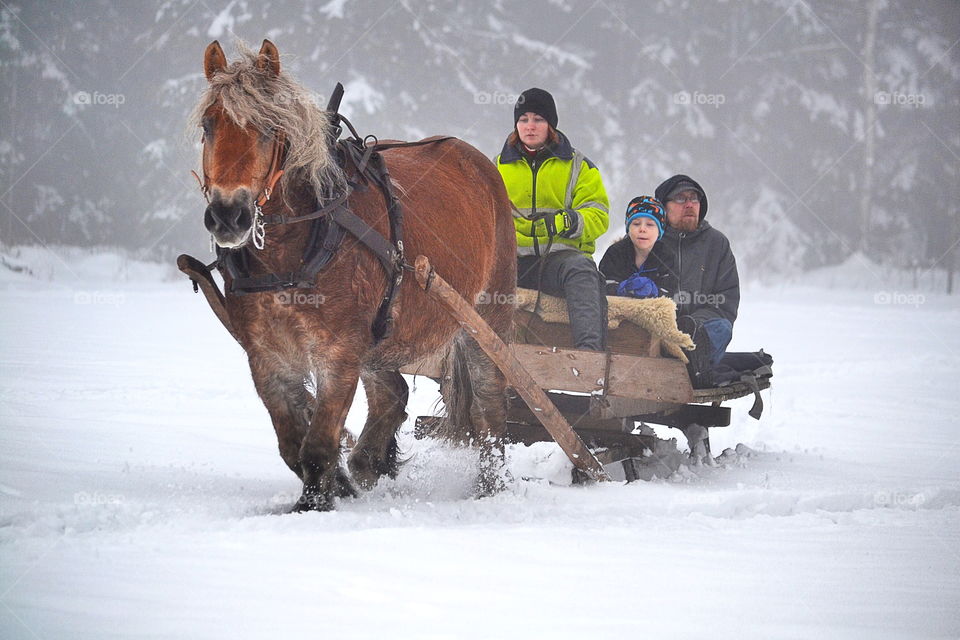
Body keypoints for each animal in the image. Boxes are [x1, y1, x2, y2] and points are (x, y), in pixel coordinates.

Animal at [193, 40, 516, 510]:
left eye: (270, 128)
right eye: (208, 124)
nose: (227, 215)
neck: (295, 252)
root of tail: (478, 161)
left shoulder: (339, 353)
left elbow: (317, 445)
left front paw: (315, 504)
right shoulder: (267, 355)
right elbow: (292, 444)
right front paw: (335, 487)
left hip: (485, 316)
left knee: (490, 403)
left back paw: (490, 486)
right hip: (381, 337)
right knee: (391, 394)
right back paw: (366, 463)